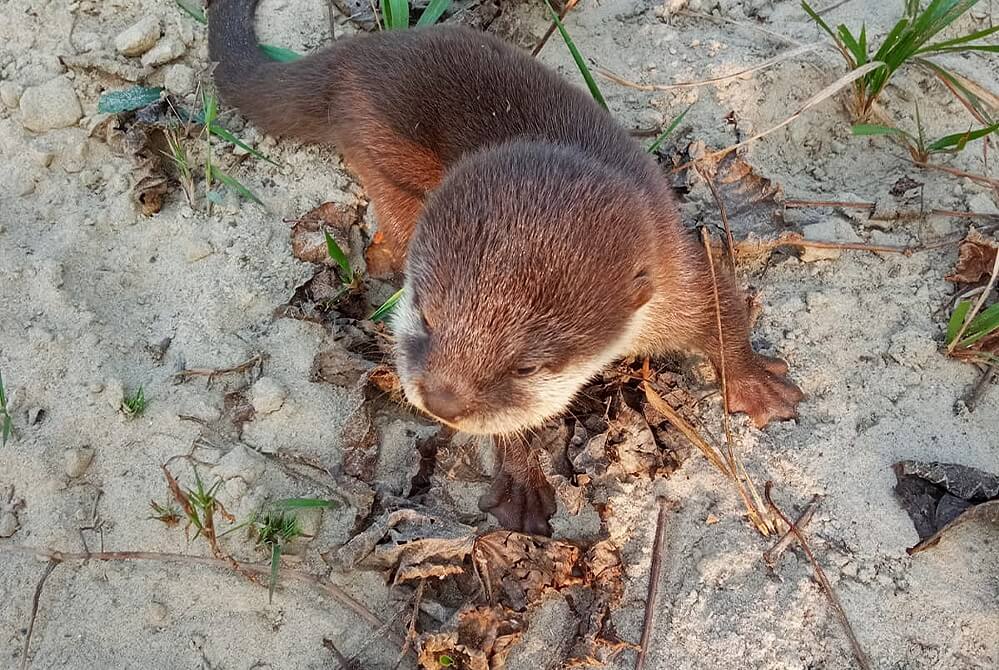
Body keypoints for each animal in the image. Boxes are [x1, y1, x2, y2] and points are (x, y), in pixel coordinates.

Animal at [207, 0, 804, 535]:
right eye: (425, 318)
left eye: (527, 366)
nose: (442, 401)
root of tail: (361, 52)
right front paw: (520, 482)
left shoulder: (675, 267)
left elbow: (723, 309)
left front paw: (758, 384)